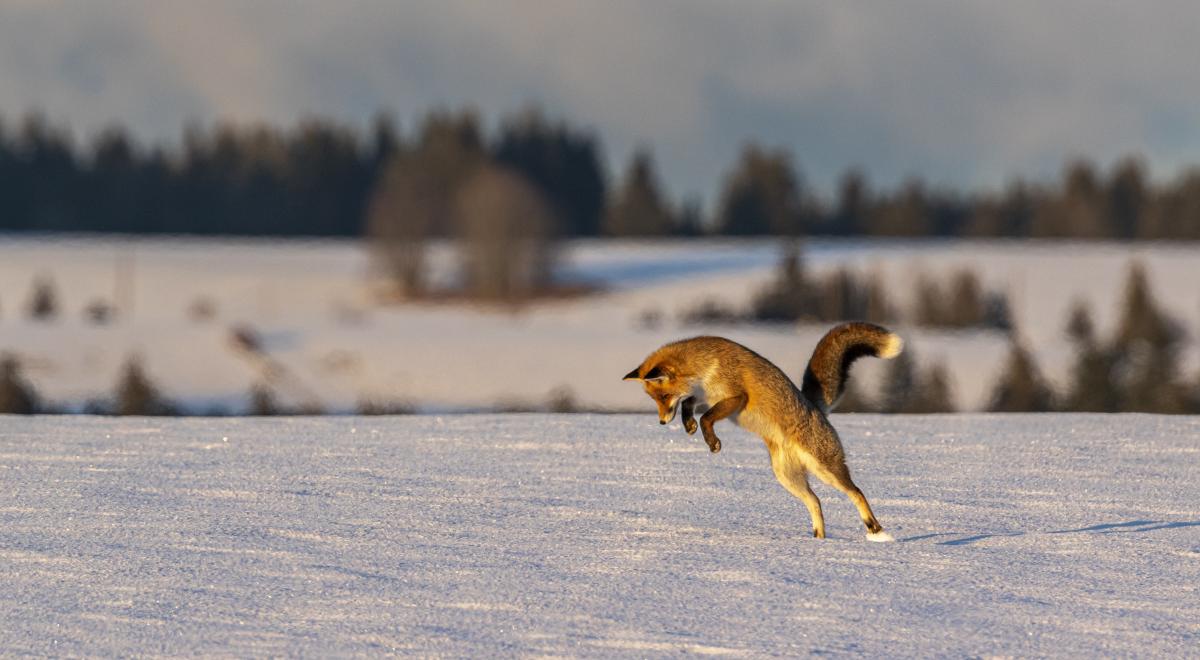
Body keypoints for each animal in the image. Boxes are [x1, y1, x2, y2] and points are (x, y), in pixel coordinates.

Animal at [623, 322, 902, 542]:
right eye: (653, 400)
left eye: (663, 396)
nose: (661, 422)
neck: (706, 367)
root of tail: (815, 407)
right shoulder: (704, 396)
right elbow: (690, 406)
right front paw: (689, 425)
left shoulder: (736, 397)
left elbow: (706, 418)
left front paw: (712, 442)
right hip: (786, 477)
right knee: (816, 502)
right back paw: (818, 541)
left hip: (825, 468)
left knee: (857, 492)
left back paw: (875, 529)